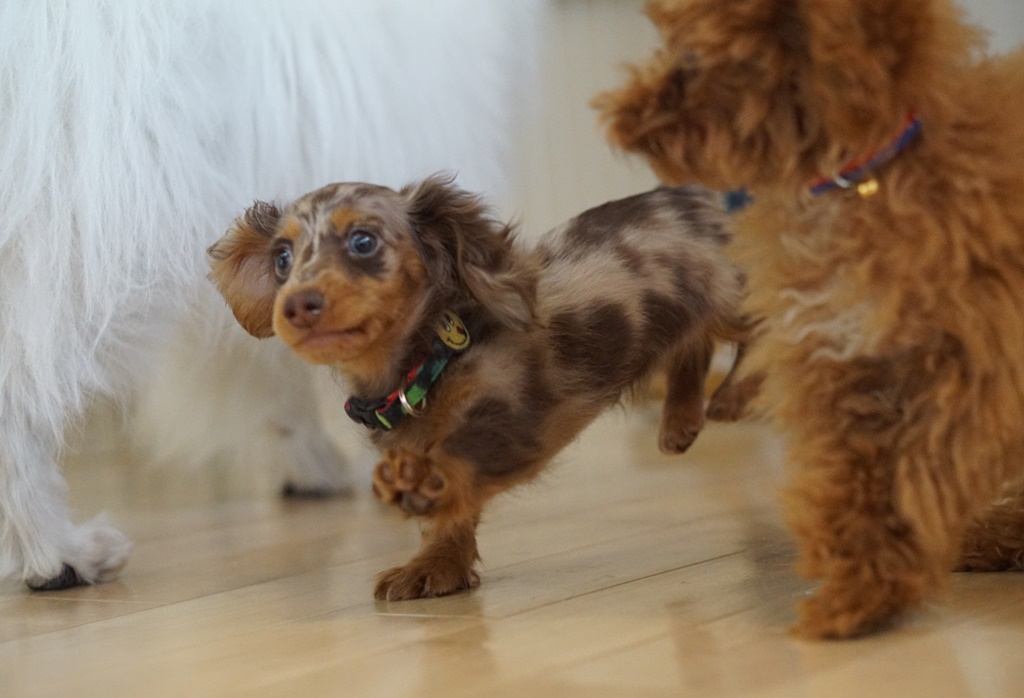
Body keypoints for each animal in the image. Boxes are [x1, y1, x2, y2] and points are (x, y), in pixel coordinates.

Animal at [205, 177, 745, 601]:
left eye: (362, 241)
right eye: (282, 257)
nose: (297, 305)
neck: (425, 366)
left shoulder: (514, 417)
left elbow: (460, 457)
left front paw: (424, 487)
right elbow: (450, 517)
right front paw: (437, 565)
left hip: (732, 295)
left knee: (758, 330)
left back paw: (738, 392)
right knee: (695, 345)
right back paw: (680, 420)